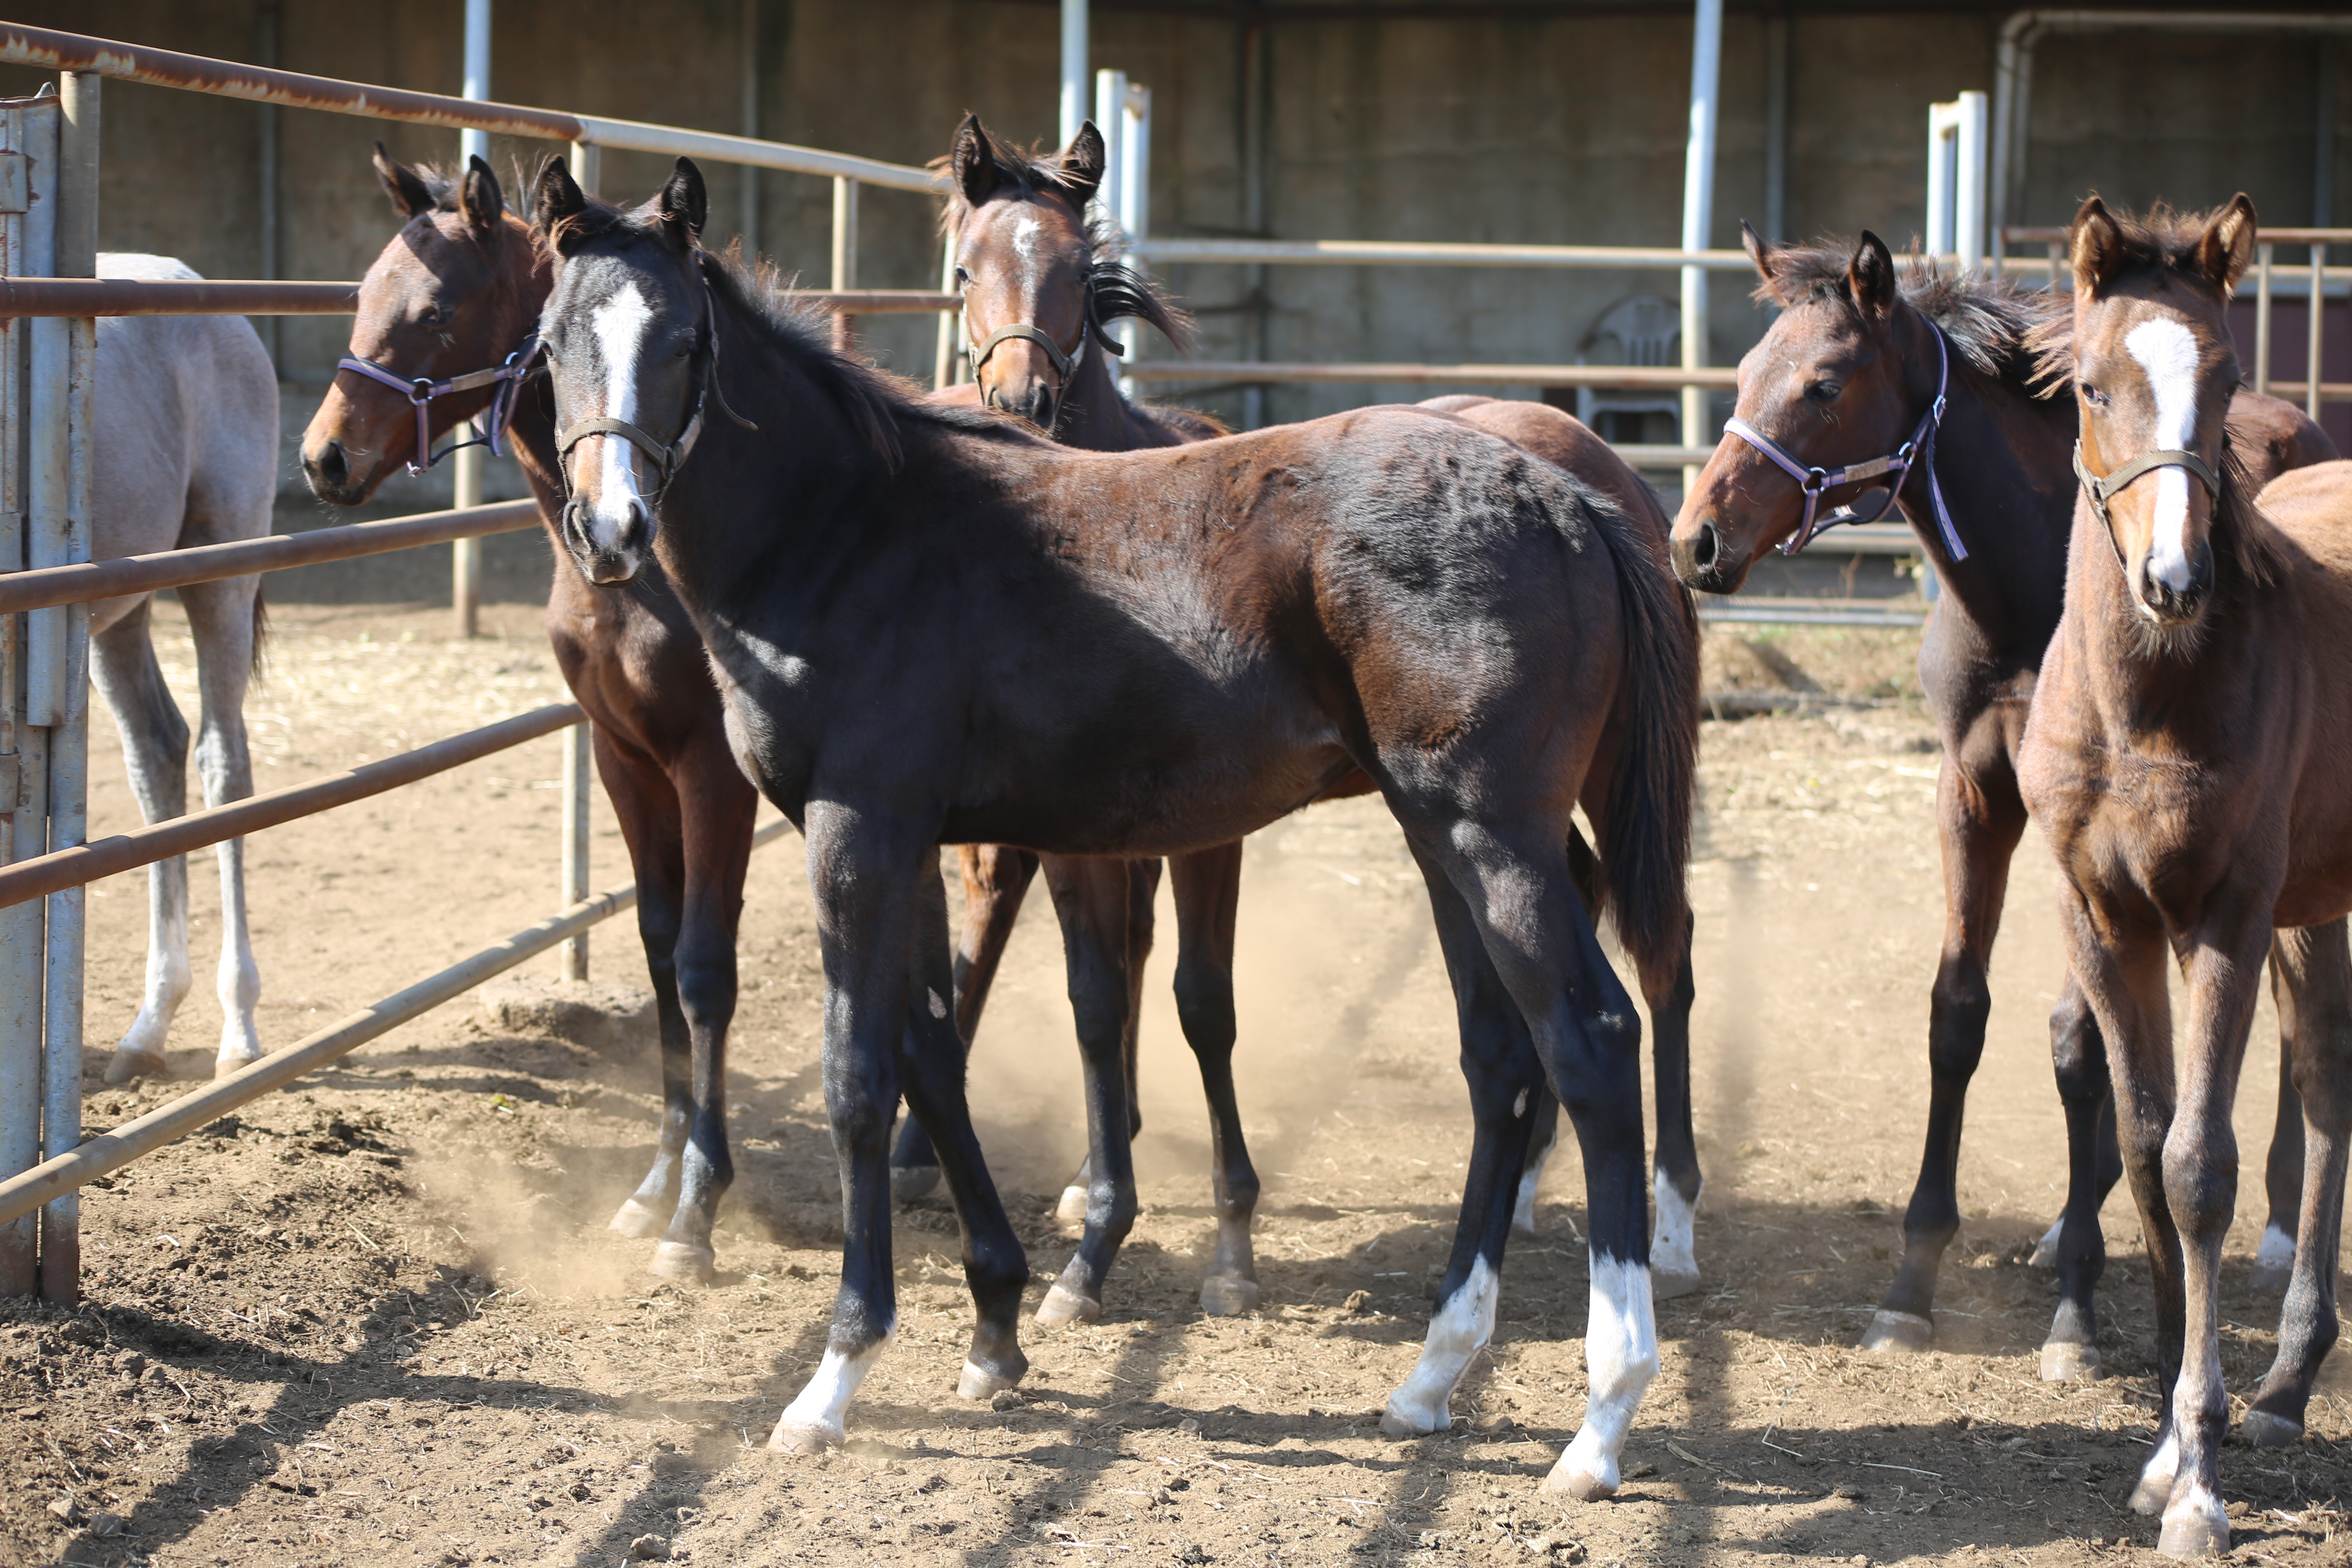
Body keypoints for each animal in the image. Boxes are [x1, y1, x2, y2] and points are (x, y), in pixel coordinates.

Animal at [539, 156, 1703, 1495]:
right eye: (554, 342)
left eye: (683, 342)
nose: (609, 530)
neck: (850, 530)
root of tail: (1569, 495)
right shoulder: (918, 840)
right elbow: (934, 1048)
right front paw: (996, 1323)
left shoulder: (857, 829)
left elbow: (860, 1075)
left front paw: (835, 1373)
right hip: (1448, 835)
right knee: (1504, 1060)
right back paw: (1433, 1373)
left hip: (1488, 836)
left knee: (1594, 1038)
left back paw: (1601, 1417)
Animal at [1675, 227, 2333, 1382]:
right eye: (1746, 372)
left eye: (1824, 382)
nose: (1697, 538)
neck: (2027, 590)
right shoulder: (1974, 792)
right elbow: (1960, 1016)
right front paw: (1911, 1286)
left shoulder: (2090, 848)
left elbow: (2078, 1048)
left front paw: (2078, 1304)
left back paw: (2264, 1225)